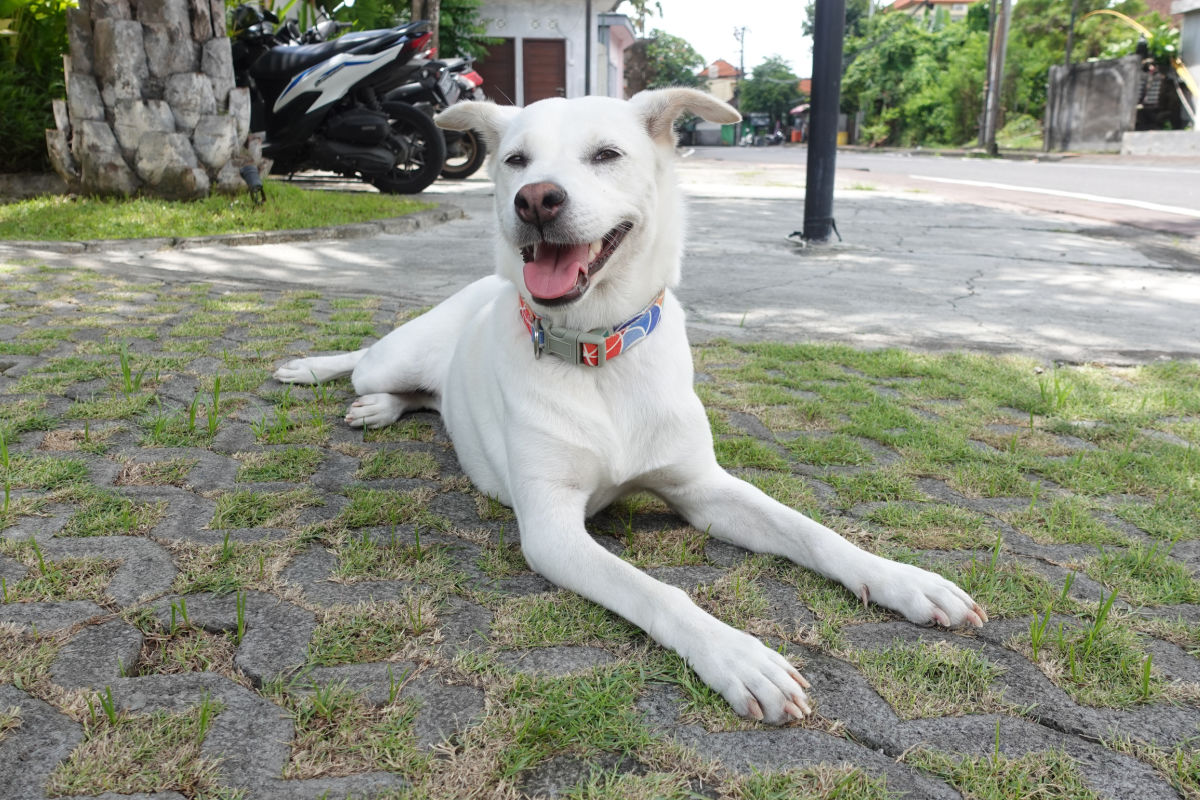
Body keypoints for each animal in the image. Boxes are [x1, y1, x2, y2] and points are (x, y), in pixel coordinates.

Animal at [276, 89, 988, 724]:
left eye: (606, 154)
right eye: (515, 160)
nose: (534, 199)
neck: (598, 353)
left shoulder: (703, 489)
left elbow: (814, 532)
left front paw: (904, 579)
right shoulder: (553, 531)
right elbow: (661, 592)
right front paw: (738, 656)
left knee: (425, 396)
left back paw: (382, 407)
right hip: (397, 354)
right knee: (365, 360)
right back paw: (320, 373)